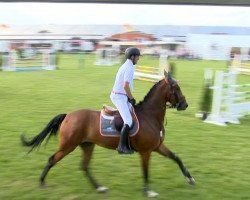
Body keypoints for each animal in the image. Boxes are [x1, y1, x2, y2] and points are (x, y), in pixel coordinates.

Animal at [20, 71, 194, 197]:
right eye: (177, 89)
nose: (185, 104)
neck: (150, 115)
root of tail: (68, 115)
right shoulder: (145, 152)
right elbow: (145, 171)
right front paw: (148, 191)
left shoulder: (157, 147)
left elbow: (176, 157)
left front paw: (190, 178)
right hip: (68, 145)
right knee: (52, 159)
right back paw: (42, 182)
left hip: (87, 145)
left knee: (84, 166)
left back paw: (100, 188)